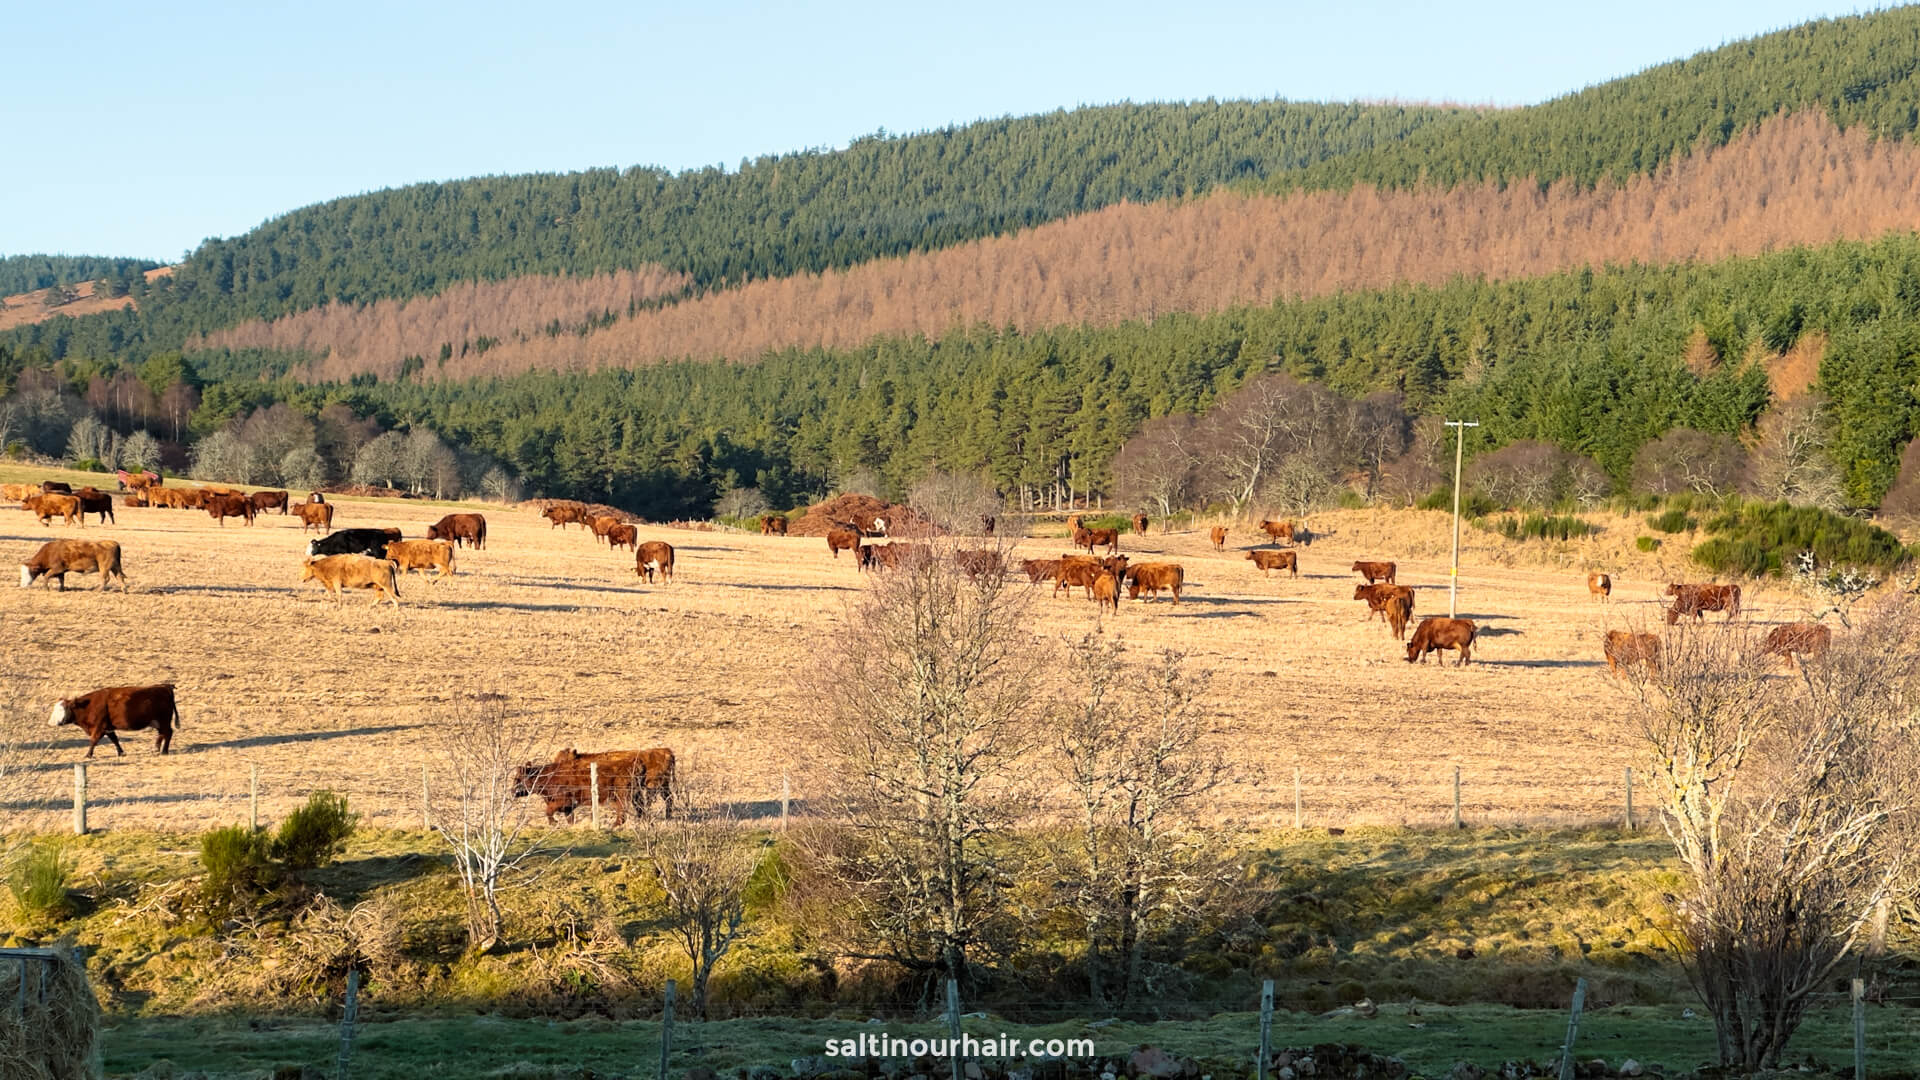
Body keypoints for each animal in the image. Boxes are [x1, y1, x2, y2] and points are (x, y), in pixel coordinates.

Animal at [50, 680, 178, 757]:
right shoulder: (108, 728)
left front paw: (88, 755)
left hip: (164, 720)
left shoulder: (99, 727)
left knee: (168, 733)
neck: (88, 705)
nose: (51, 722)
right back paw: (156, 749)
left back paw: (164, 751)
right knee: (162, 734)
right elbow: (114, 740)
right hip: (158, 722)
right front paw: (121, 753)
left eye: (62, 709)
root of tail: (164, 686)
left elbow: (93, 740)